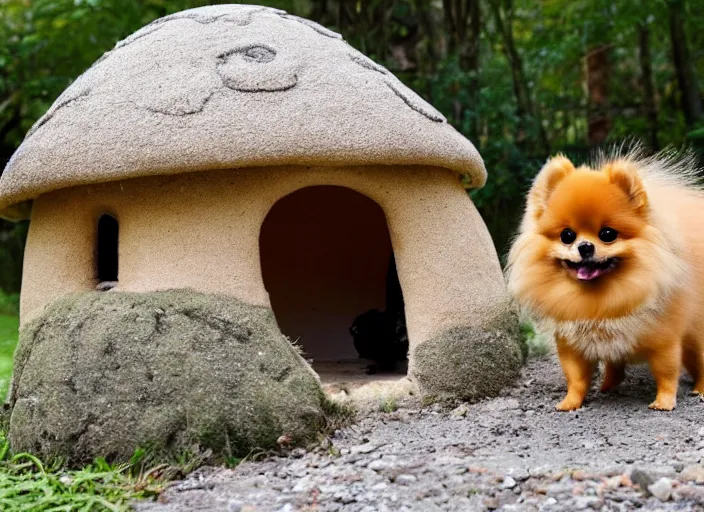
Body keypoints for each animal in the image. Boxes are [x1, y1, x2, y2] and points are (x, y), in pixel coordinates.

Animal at [506, 146, 704, 410]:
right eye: (567, 236)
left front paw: (663, 402)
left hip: (696, 333)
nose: (585, 246)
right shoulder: (571, 345)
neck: (599, 298)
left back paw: (700, 389)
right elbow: (576, 379)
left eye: (607, 234)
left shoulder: (665, 341)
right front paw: (570, 403)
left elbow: (667, 374)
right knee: (614, 366)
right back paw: (608, 385)